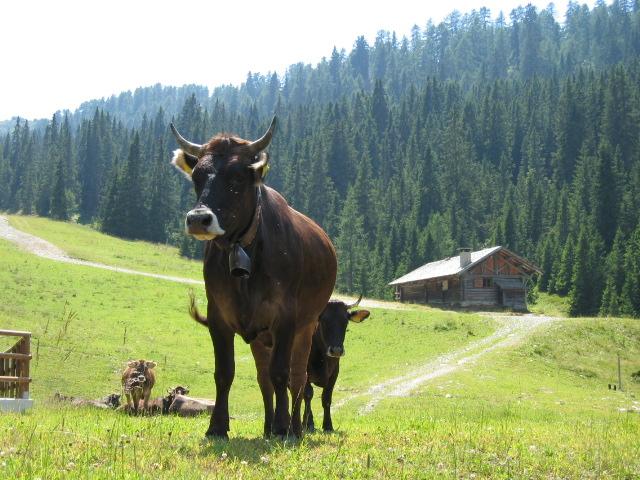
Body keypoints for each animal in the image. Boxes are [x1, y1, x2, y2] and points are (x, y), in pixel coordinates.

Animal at [172, 117, 338, 438]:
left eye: (237, 178)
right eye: (197, 177)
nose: (198, 219)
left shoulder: (285, 317)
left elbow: (281, 374)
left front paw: (284, 427)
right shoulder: (219, 315)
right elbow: (225, 373)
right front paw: (217, 426)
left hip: (306, 327)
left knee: (297, 379)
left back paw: (294, 427)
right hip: (260, 337)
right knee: (264, 380)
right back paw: (267, 426)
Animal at [304, 296, 370, 432]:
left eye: (345, 322)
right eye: (324, 320)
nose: (336, 350)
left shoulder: (334, 372)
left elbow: (326, 398)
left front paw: (328, 425)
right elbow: (308, 394)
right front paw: (309, 424)